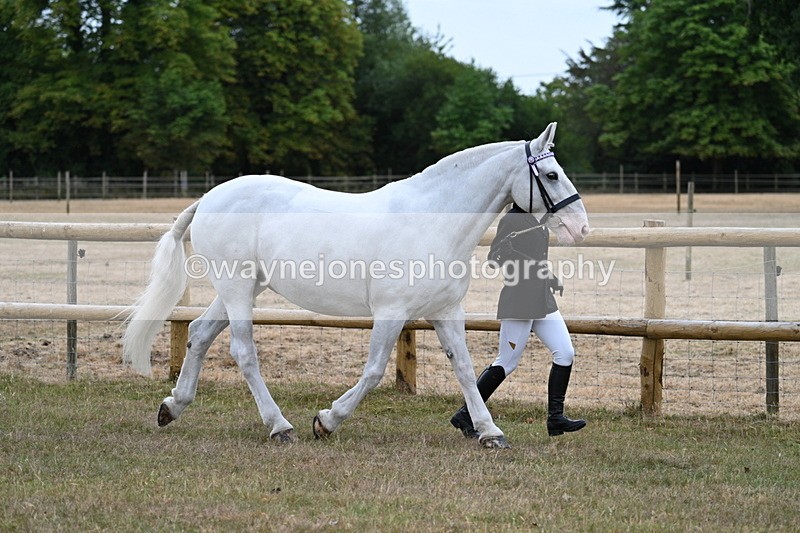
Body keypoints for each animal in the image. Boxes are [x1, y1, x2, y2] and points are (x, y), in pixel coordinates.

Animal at [122, 122, 590, 449]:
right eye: (551, 175)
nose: (581, 227)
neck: (431, 223)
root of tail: (209, 197)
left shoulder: (445, 312)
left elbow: (465, 368)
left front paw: (489, 432)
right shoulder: (391, 313)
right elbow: (373, 371)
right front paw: (326, 420)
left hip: (242, 289)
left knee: (199, 333)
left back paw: (172, 407)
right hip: (237, 290)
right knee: (243, 352)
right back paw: (280, 426)